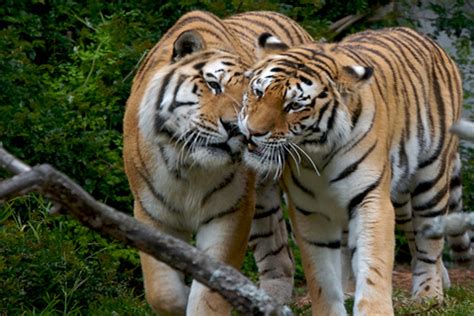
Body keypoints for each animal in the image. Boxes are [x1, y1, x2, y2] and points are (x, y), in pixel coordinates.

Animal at [121, 10, 312, 316]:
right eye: (213, 85)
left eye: (252, 96)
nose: (235, 127)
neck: (188, 166)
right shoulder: (152, 212)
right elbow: (162, 292)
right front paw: (181, 296)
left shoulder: (231, 213)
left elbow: (210, 294)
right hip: (263, 206)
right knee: (280, 257)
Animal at [237, 27, 470, 316]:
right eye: (258, 92)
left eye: (294, 106)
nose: (251, 133)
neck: (318, 155)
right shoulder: (309, 210)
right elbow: (322, 275)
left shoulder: (371, 200)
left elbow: (373, 266)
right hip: (399, 196)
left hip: (431, 180)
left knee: (429, 241)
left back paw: (428, 294)